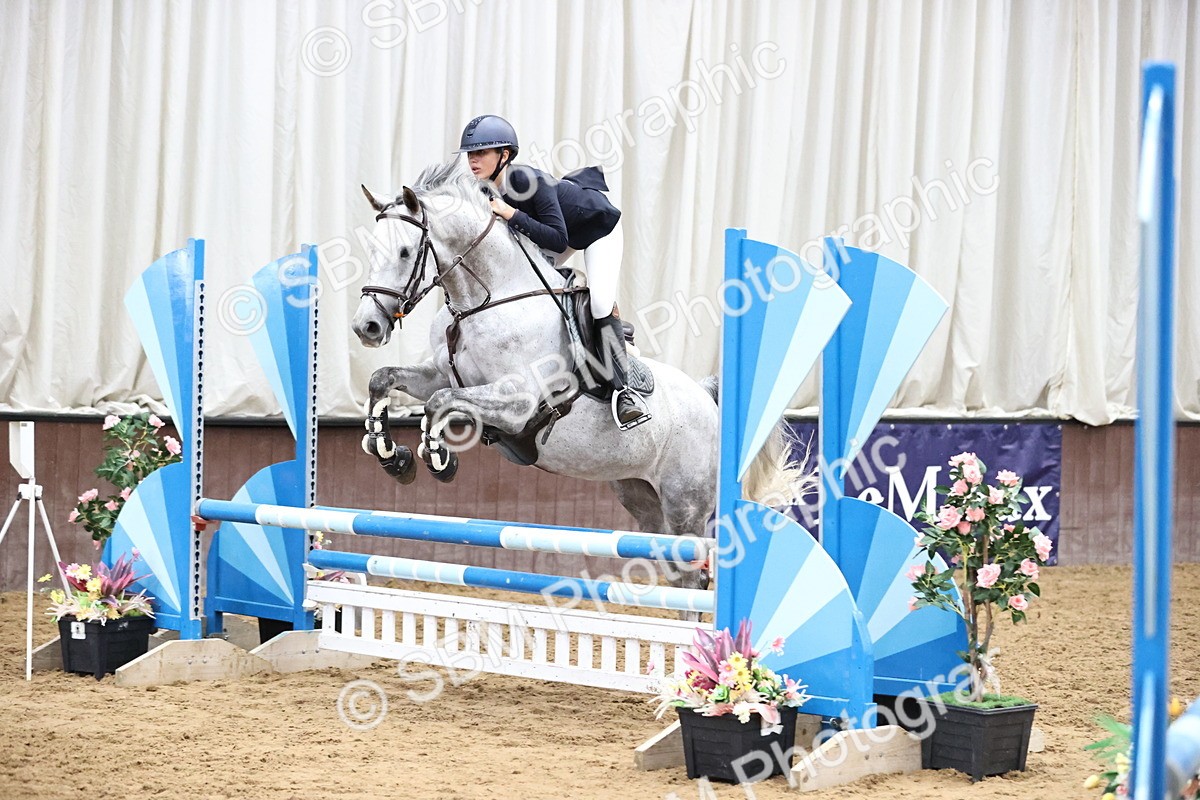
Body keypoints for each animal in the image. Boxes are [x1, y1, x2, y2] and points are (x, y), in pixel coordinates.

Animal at [351, 158, 809, 590]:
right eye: (371, 251)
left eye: (405, 252)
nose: (365, 327)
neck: (483, 301)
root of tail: (705, 396)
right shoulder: (442, 375)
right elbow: (385, 379)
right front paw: (390, 453)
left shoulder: (516, 403)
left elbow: (438, 404)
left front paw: (437, 458)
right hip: (639, 493)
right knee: (677, 572)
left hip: (686, 503)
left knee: (694, 576)